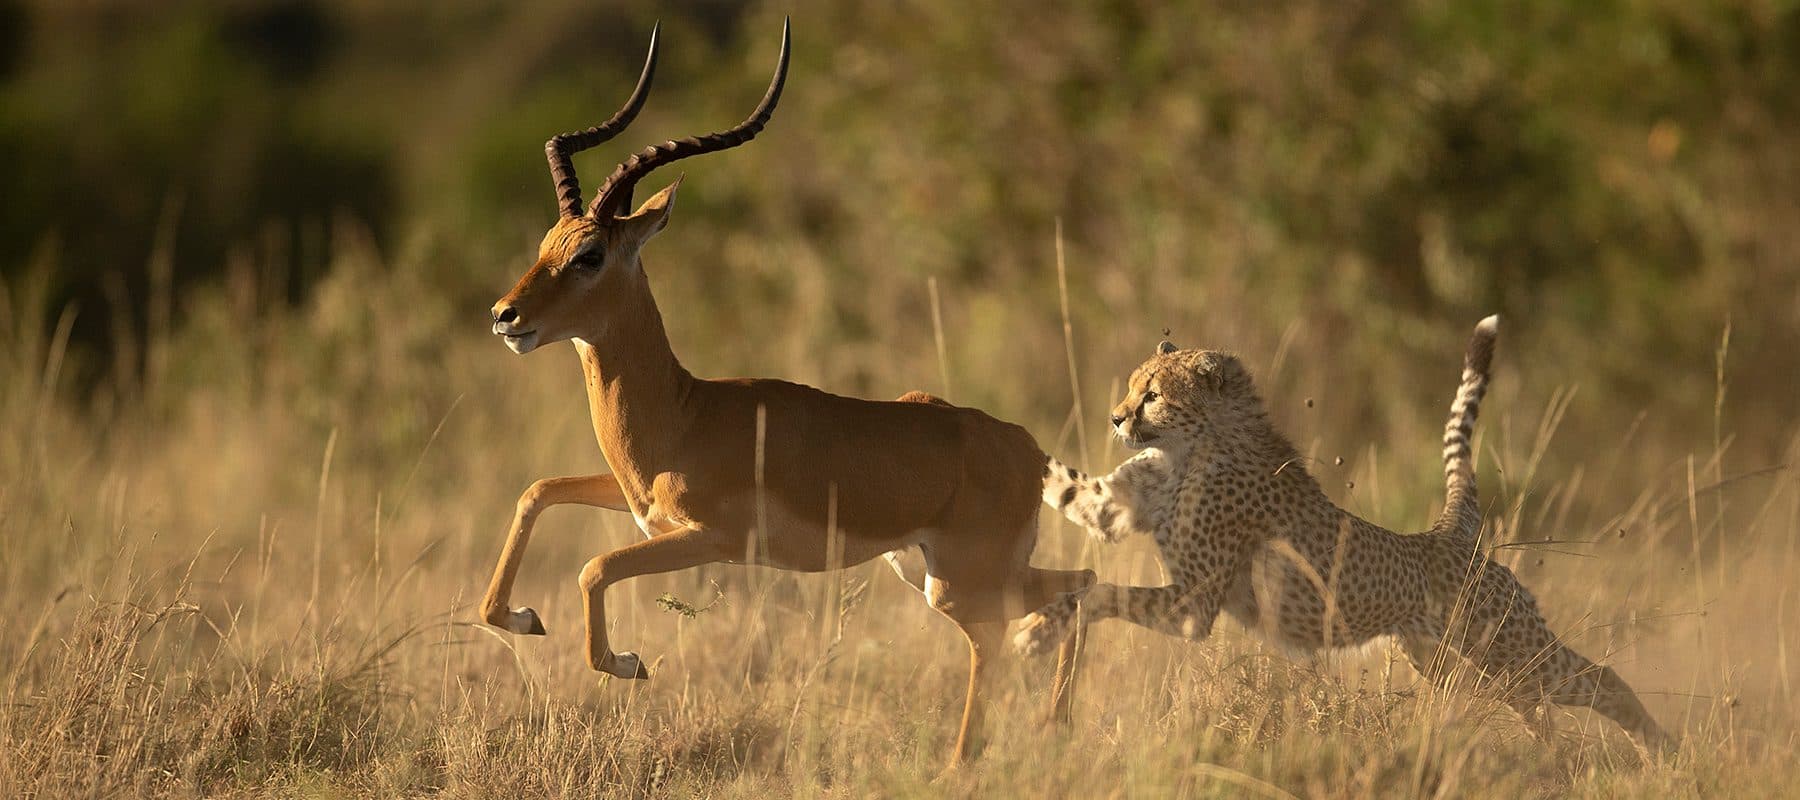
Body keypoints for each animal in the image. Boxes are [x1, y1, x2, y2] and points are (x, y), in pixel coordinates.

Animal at [1017, 316, 1670, 751]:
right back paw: (1554, 755)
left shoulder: (1192, 606)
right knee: (1530, 706)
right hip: (1454, 664)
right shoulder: (1113, 510)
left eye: (1152, 393)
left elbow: (1097, 591)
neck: (1193, 445)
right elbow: (1067, 488)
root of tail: (1447, 534)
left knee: (1601, 680)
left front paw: (1037, 630)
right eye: (1134, 387)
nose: (1115, 418)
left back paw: (1660, 750)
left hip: (1510, 646)